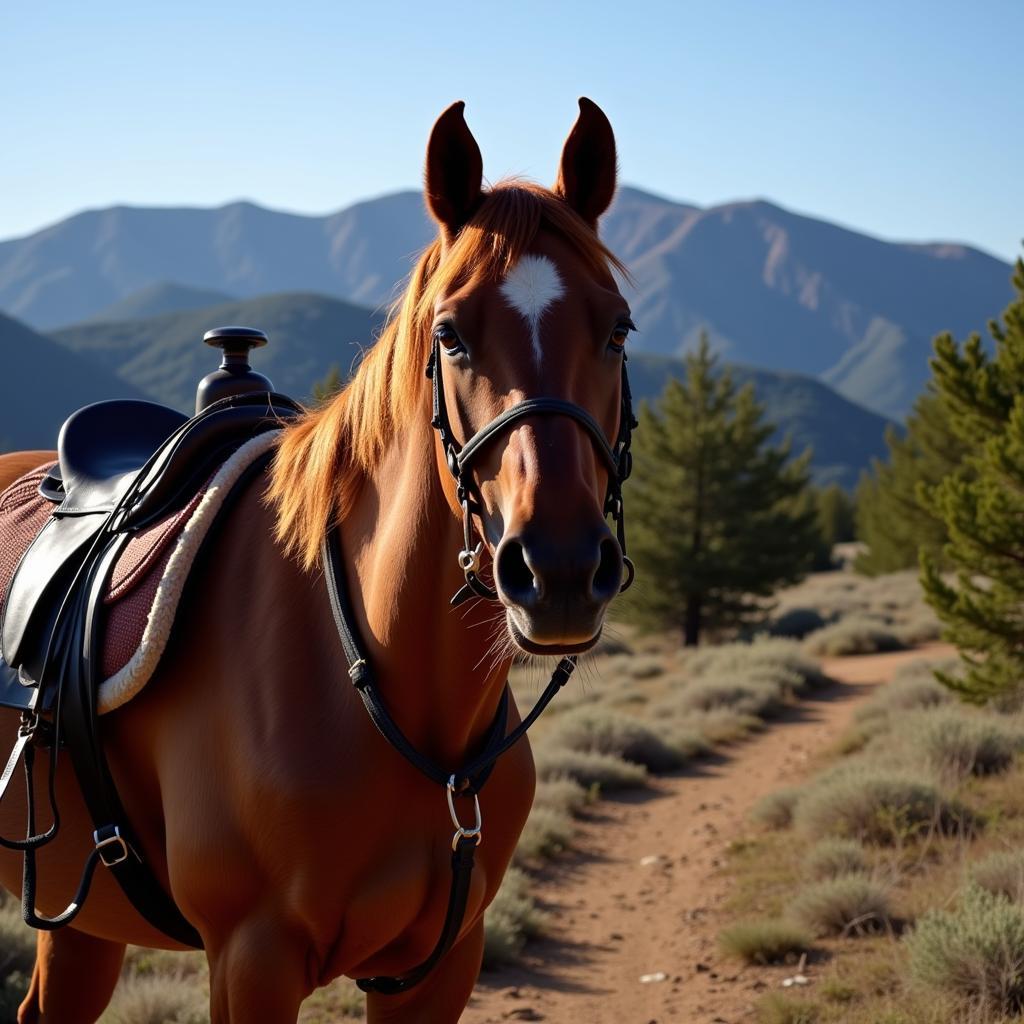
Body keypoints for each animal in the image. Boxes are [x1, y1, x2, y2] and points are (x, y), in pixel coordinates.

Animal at [0, 97, 634, 1024]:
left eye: (618, 328)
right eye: (450, 334)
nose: (557, 570)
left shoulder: (441, 967)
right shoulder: (250, 960)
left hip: (83, 922)